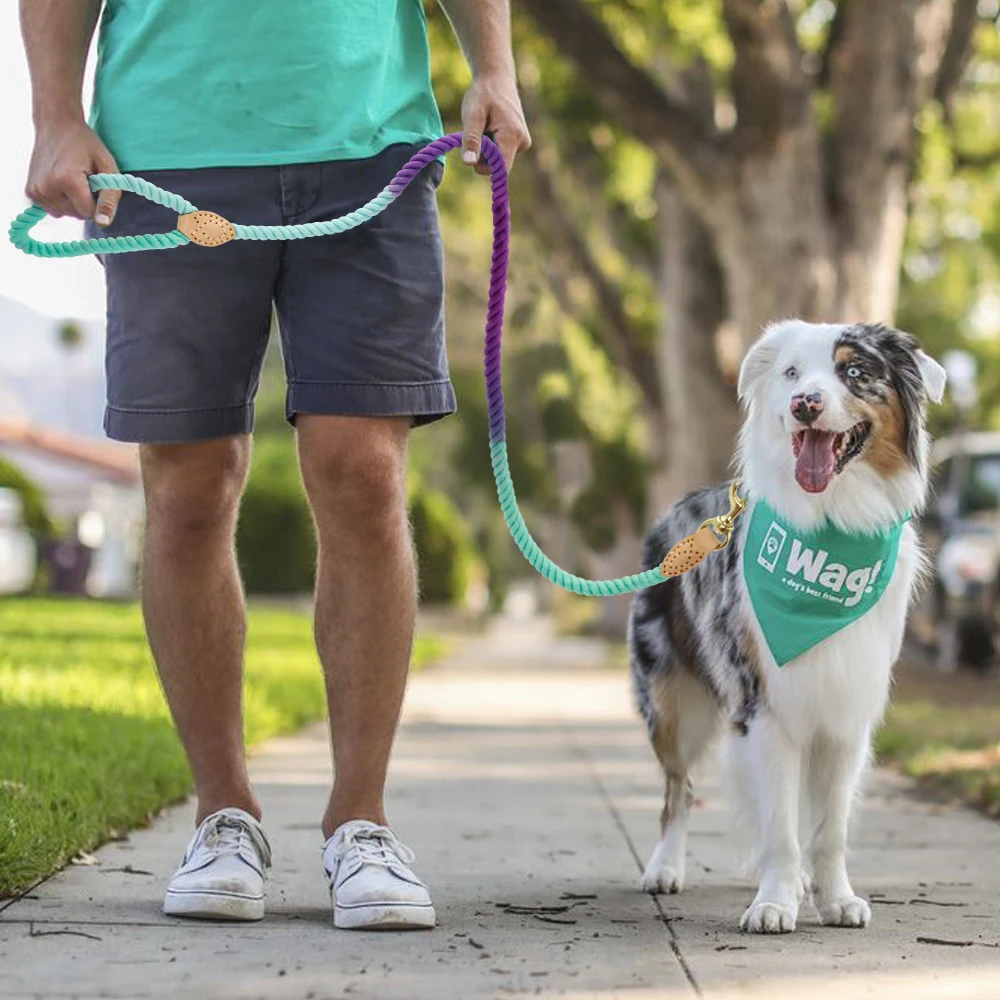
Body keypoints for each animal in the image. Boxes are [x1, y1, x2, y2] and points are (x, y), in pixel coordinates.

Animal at [628, 322, 948, 936]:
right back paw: (664, 867)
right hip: (671, 704)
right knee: (678, 790)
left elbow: (829, 827)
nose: (806, 404)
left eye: (854, 371)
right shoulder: (765, 705)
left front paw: (834, 897)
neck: (833, 522)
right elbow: (779, 824)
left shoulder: (847, 709)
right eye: (791, 373)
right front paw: (774, 903)